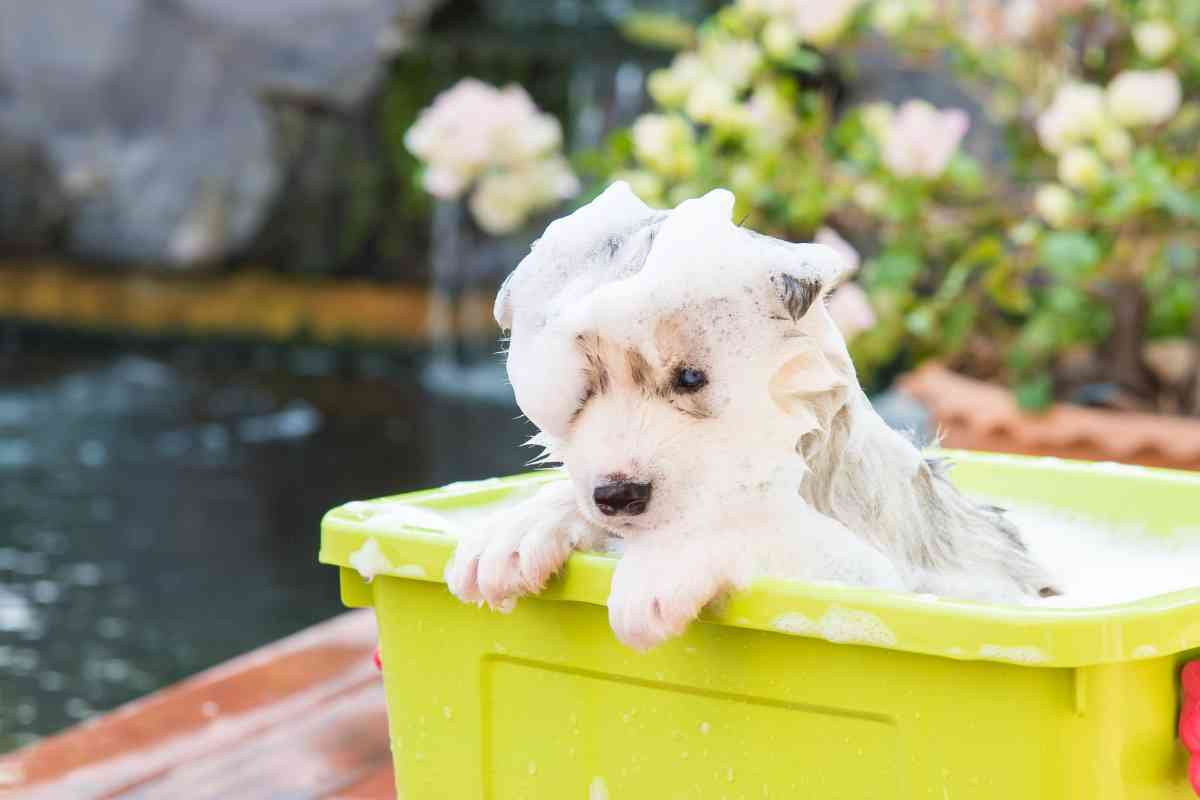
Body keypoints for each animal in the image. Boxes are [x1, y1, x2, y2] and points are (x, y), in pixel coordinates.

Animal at [446, 181, 1056, 652]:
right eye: (579, 387)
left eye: (693, 378)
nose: (618, 495)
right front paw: (517, 528)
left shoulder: (883, 577)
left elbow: (758, 524)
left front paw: (667, 559)